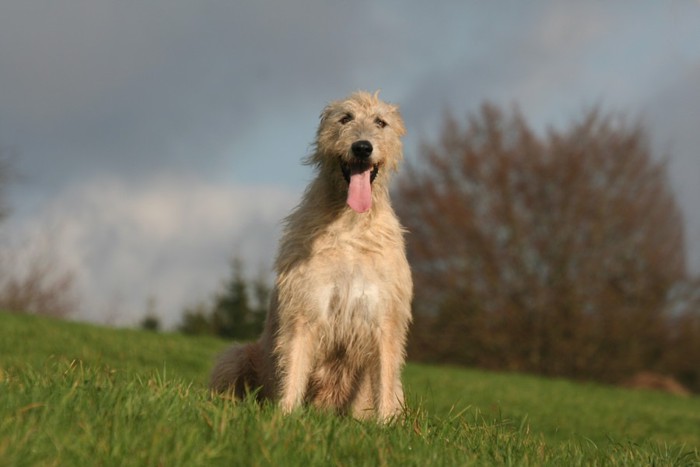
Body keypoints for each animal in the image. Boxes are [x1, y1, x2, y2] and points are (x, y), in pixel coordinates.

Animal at [211, 90, 412, 420]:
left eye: (380, 122)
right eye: (345, 118)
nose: (362, 147)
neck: (350, 224)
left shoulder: (384, 317)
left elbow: (384, 373)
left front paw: (385, 425)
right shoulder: (304, 307)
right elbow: (294, 363)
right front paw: (285, 416)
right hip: (237, 356)